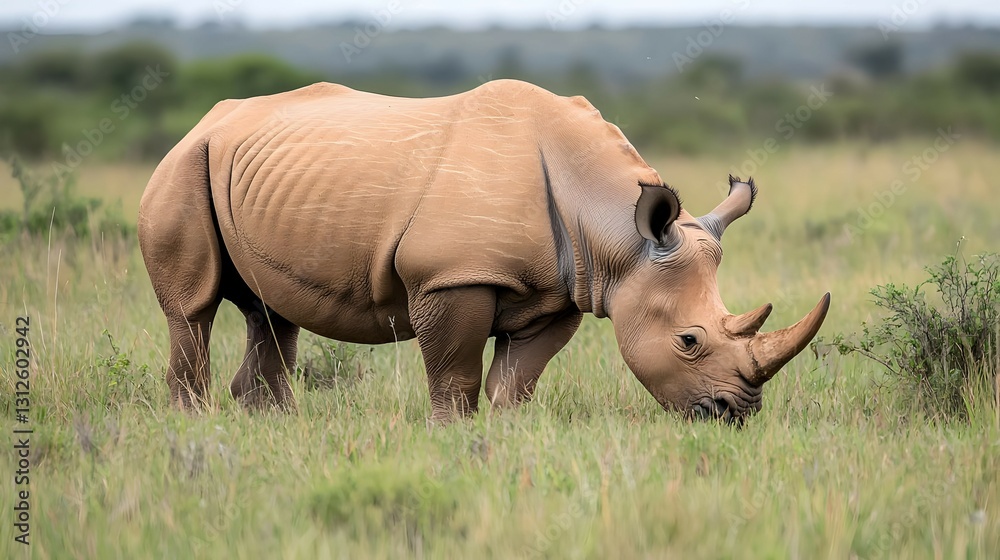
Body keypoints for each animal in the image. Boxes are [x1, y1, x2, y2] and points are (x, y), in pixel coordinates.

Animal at [138, 79, 829, 422]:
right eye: (688, 340)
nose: (734, 415)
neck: (615, 230)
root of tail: (204, 120)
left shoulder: (564, 291)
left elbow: (516, 379)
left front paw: (504, 432)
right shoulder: (450, 276)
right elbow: (455, 375)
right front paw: (453, 436)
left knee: (271, 311)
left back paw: (272, 423)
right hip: (183, 163)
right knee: (192, 310)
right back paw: (193, 421)